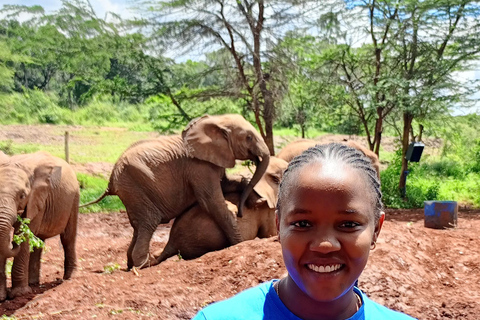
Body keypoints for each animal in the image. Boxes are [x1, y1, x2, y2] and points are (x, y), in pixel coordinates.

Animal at [0, 151, 79, 302]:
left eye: (22, 196)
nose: (13, 243)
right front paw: (1, 297)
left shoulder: (36, 199)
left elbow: (25, 234)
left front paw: (19, 294)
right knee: (38, 241)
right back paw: (33, 283)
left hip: (74, 199)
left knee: (67, 238)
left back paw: (69, 278)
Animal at [82, 115, 270, 270]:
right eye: (249, 137)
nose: (241, 211)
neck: (216, 121)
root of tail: (111, 180)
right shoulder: (198, 166)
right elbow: (211, 201)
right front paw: (238, 244)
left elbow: (228, 184)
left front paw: (254, 200)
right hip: (135, 185)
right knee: (148, 222)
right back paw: (145, 264)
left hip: (132, 191)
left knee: (138, 226)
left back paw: (132, 264)